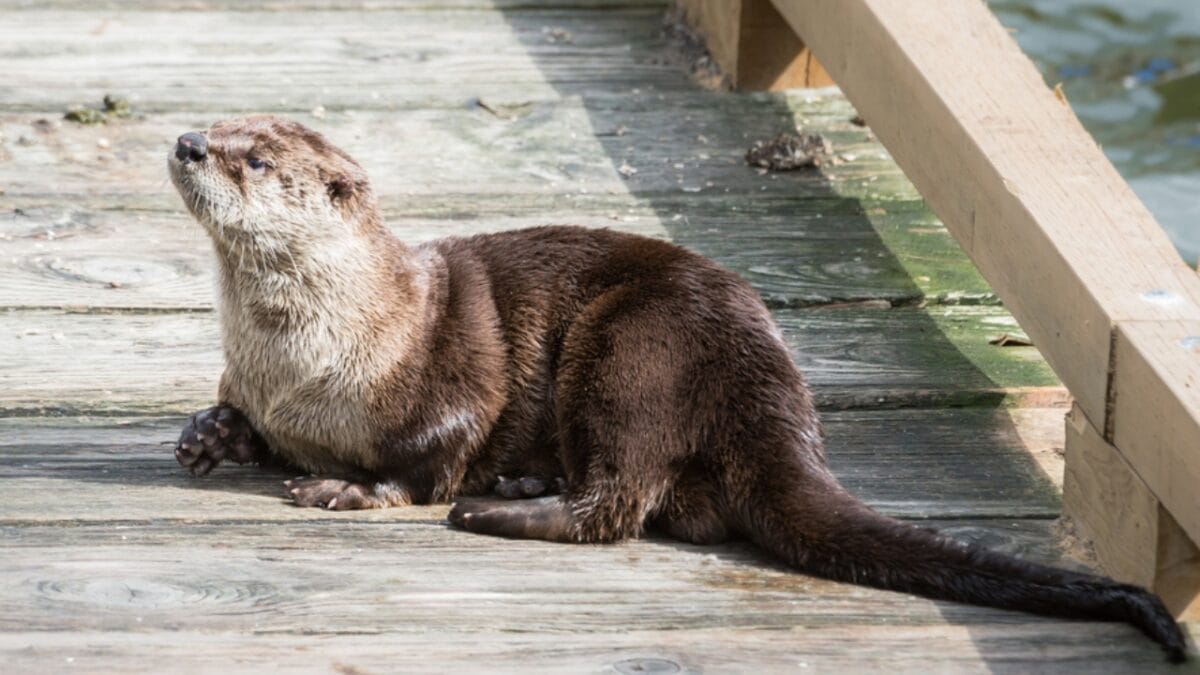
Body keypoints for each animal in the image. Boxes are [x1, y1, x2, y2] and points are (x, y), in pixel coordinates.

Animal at [168, 116, 1186, 661]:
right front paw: (210, 435)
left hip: (631, 350)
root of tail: (777, 395)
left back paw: (500, 507)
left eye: (253, 159)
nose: (185, 141)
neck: (308, 362)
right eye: (217, 124)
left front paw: (344, 487)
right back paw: (528, 482)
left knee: (618, 500)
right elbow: (239, 417)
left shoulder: (449, 374)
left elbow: (431, 454)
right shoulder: (263, 386)